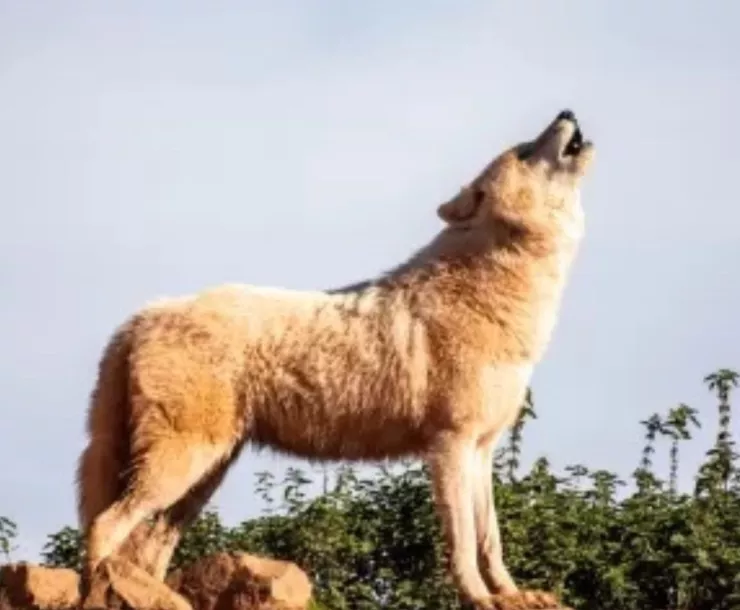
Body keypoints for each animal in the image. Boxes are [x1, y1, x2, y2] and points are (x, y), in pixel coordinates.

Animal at [76, 109, 594, 609]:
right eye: (526, 149)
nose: (567, 111)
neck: (494, 290)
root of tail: (142, 316)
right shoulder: (450, 445)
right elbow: (464, 543)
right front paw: (480, 598)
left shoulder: (482, 450)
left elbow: (492, 540)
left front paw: (513, 595)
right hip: (180, 466)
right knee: (104, 525)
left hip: (201, 476)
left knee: (147, 549)